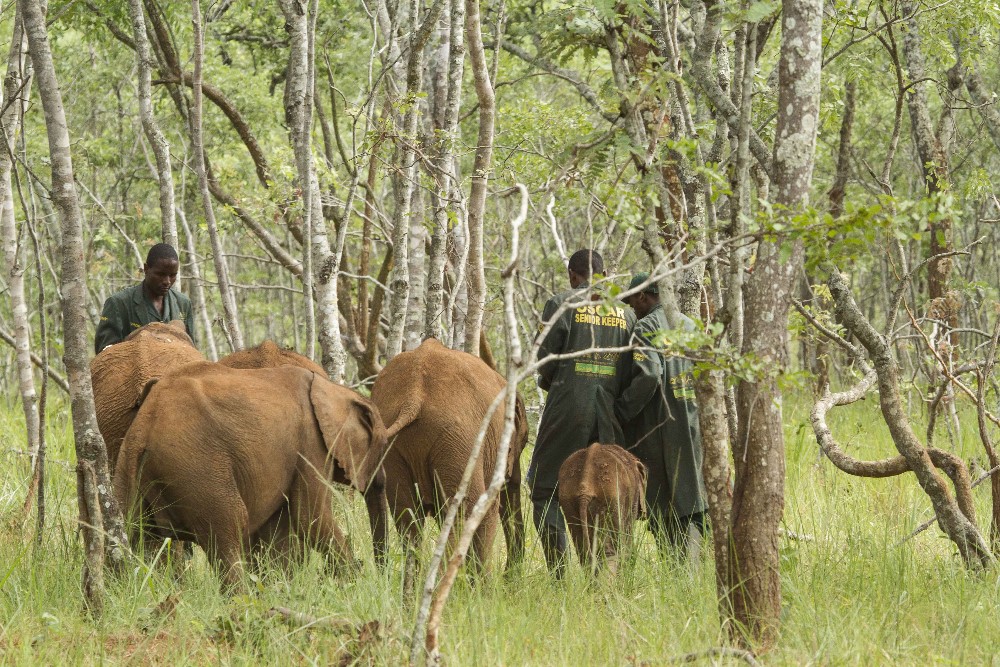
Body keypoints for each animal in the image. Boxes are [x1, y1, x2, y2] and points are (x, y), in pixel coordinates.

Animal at [114, 361, 388, 588]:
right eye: (384, 446)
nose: (380, 573)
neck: (334, 389)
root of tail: (145, 427)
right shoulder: (310, 444)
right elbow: (310, 517)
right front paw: (356, 584)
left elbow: (279, 531)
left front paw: (282, 590)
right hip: (198, 468)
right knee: (230, 527)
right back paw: (239, 601)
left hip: (128, 464)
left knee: (138, 535)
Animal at [370, 338, 528, 592]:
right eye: (522, 444)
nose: (509, 579)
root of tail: (413, 395)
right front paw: (483, 595)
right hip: (458, 438)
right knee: (465, 511)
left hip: (395, 445)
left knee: (408, 520)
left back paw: (412, 595)